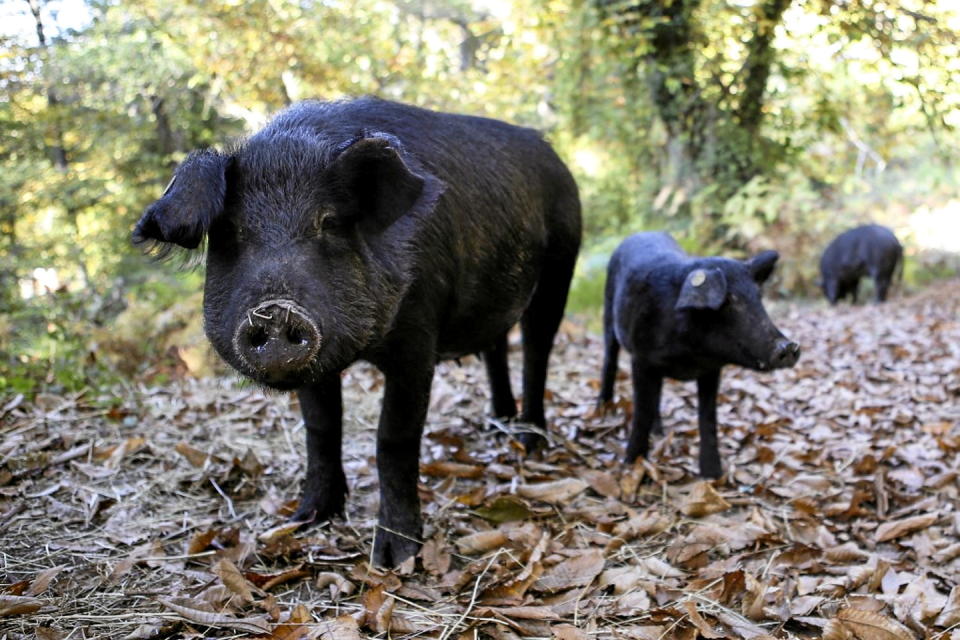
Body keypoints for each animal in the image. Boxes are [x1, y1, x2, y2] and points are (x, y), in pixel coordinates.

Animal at [132, 97, 580, 568]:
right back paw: (498, 424)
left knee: (537, 350)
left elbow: (394, 439)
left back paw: (530, 443)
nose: (275, 312)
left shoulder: (417, 340)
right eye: (232, 230)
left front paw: (394, 558)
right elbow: (321, 428)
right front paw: (306, 519)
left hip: (561, 262)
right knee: (496, 347)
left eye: (328, 222)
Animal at [596, 232, 800, 478]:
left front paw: (713, 475)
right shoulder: (641, 358)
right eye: (728, 301)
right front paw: (632, 463)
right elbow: (641, 411)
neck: (691, 355)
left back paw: (659, 433)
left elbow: (708, 417)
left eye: (758, 299)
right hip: (608, 312)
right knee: (610, 362)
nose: (788, 346)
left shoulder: (711, 370)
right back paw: (601, 412)